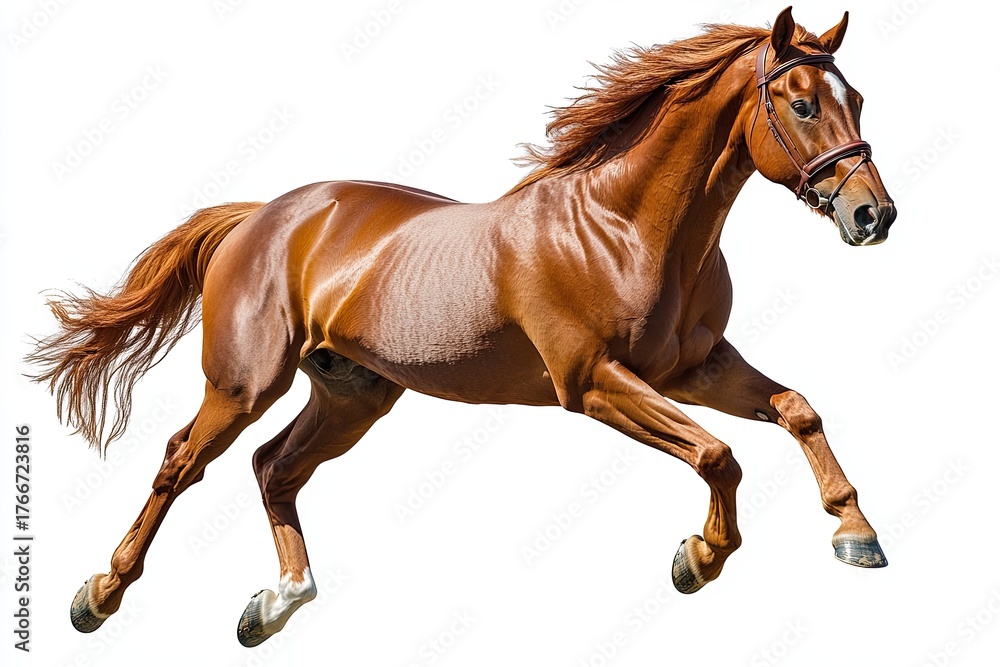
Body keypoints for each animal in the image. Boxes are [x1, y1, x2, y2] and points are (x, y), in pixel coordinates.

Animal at [28, 7, 896, 647]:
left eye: (856, 100)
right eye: (802, 103)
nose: (873, 215)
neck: (624, 227)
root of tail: (262, 215)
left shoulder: (695, 368)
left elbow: (797, 410)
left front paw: (856, 534)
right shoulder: (593, 382)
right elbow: (718, 455)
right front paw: (699, 556)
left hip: (354, 394)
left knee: (275, 467)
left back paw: (274, 603)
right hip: (243, 384)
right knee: (182, 462)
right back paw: (97, 594)